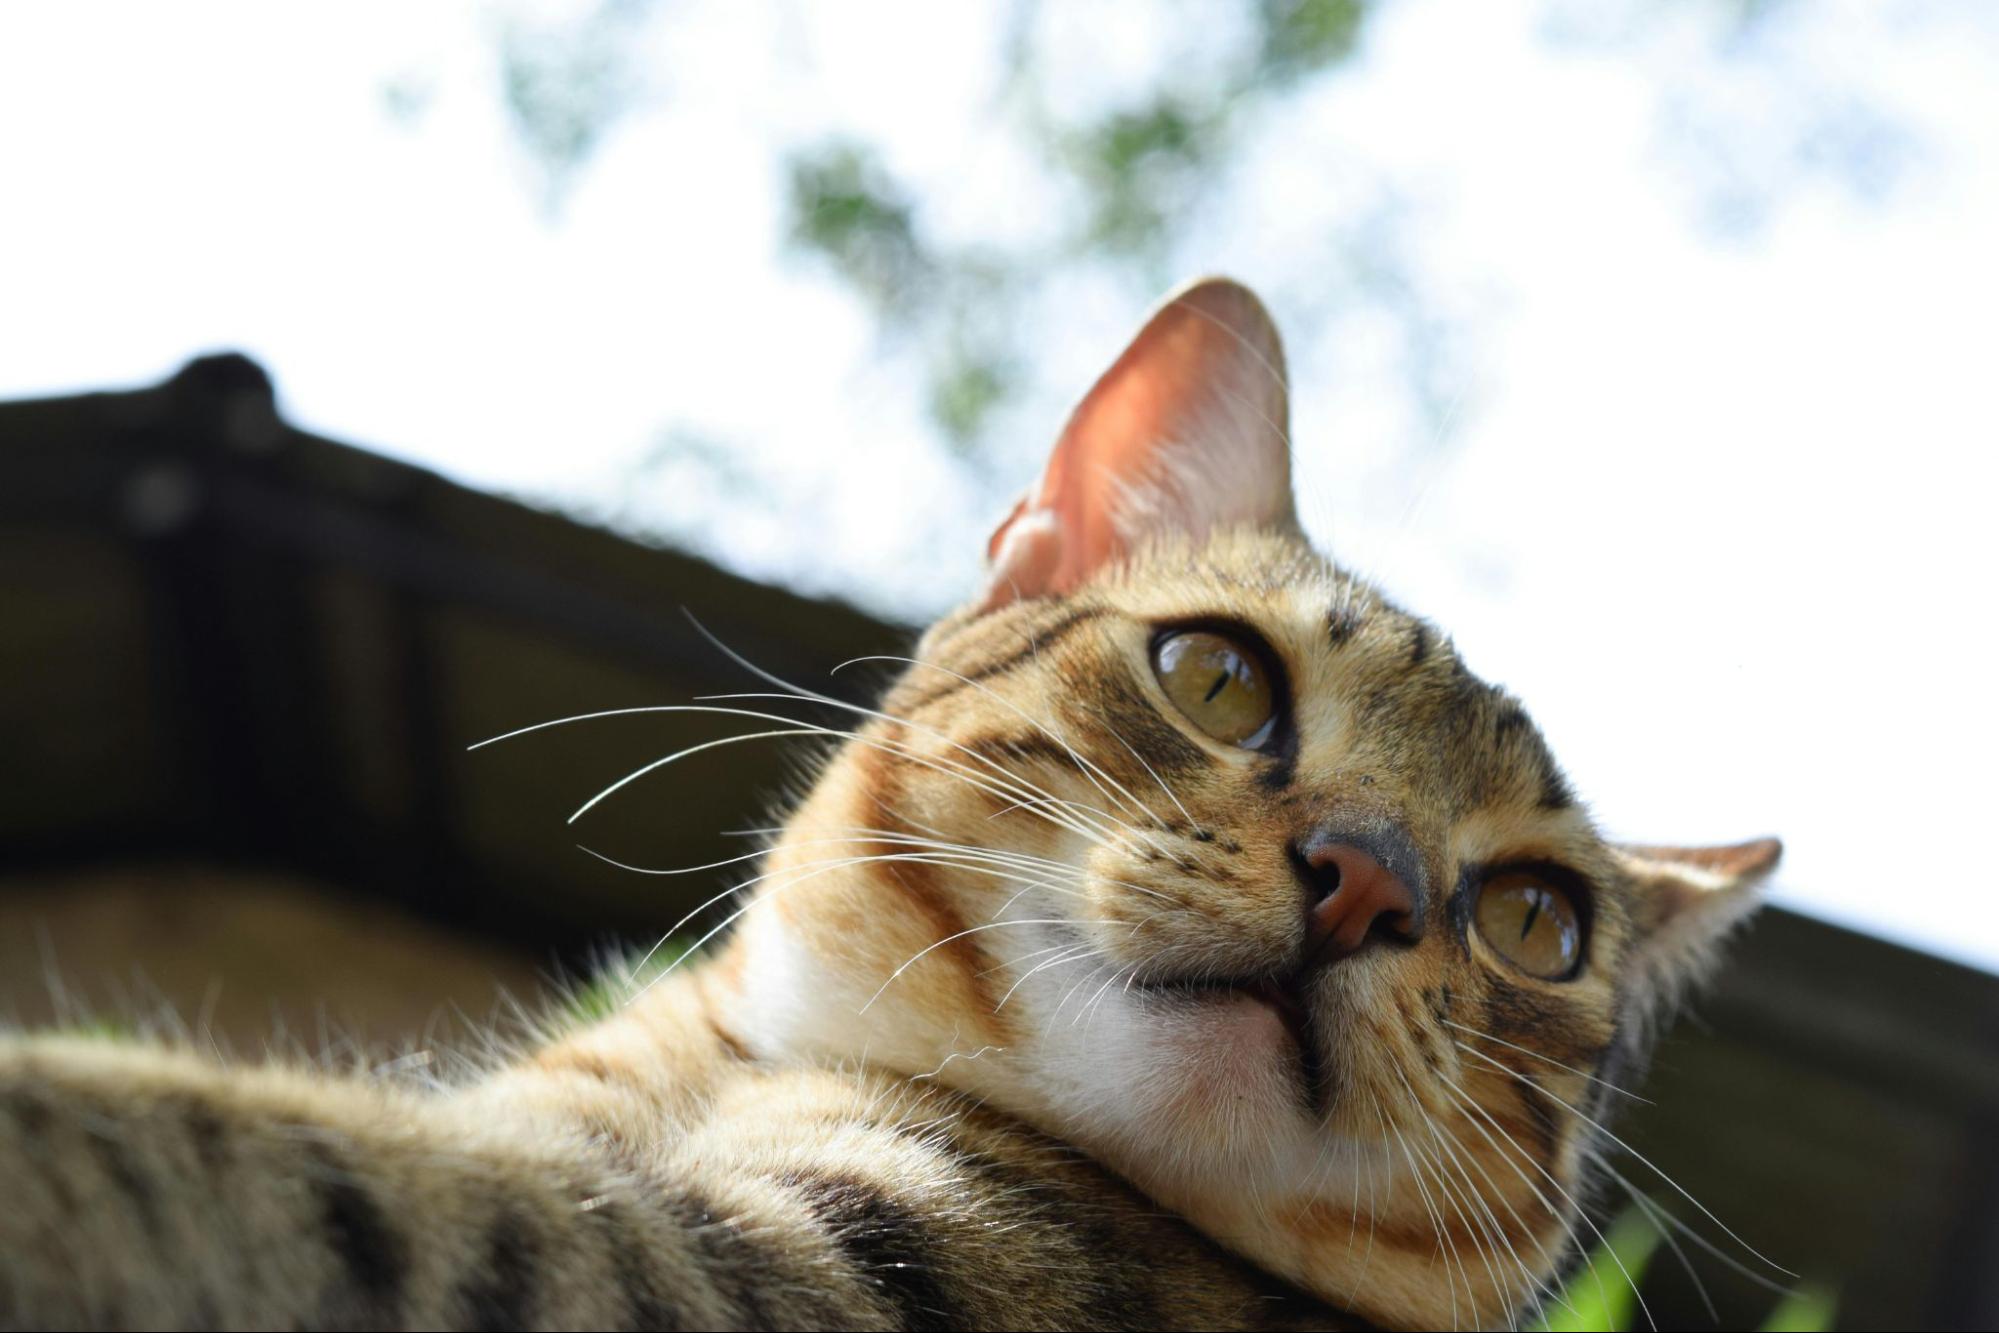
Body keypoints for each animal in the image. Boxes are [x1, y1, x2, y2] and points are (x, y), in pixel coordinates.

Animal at [0, 275, 1783, 1327]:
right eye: (1217, 678)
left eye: (1534, 920)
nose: (1366, 876)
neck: (713, 1072)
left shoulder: (751, 1271)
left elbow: (271, 1168)